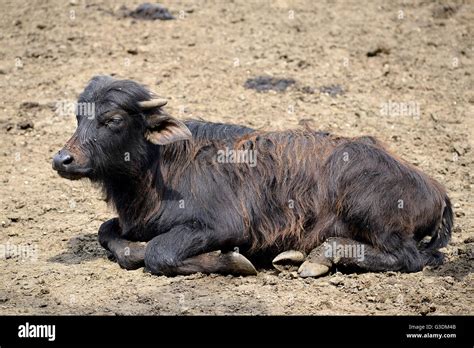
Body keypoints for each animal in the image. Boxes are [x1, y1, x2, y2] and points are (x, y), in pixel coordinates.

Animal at [51, 76, 452, 278]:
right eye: (79, 116)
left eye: (113, 119)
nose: (62, 159)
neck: (160, 169)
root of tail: (434, 187)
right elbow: (107, 232)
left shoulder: (223, 225)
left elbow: (159, 253)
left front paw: (233, 262)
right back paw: (297, 255)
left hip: (372, 215)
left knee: (409, 258)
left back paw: (321, 257)